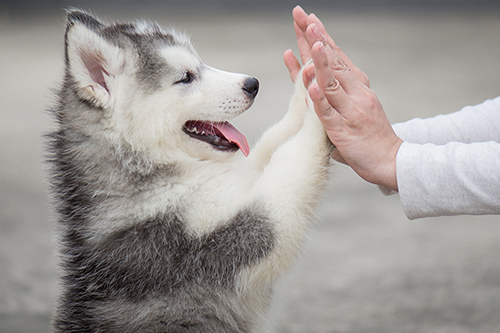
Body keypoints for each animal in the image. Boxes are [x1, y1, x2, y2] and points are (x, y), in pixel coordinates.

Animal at [47, 8, 334, 332]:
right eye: (186, 77)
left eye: (200, 63)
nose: (252, 84)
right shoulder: (225, 236)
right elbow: (292, 160)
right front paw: (321, 105)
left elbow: (271, 142)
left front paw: (307, 83)